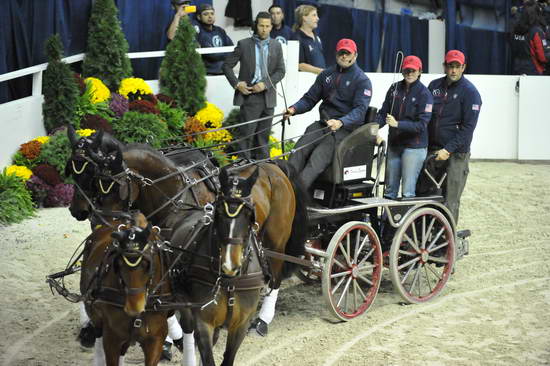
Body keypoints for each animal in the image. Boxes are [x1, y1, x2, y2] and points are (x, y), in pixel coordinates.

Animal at [78, 212, 171, 366]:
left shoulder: (156, 339)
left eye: (147, 263)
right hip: (95, 314)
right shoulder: (112, 338)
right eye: (119, 263)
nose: (134, 308)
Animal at [188, 163, 310, 366]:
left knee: (275, 279)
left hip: (277, 240)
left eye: (249, 214)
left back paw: (262, 321)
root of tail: (275, 166)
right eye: (218, 212)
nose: (230, 265)